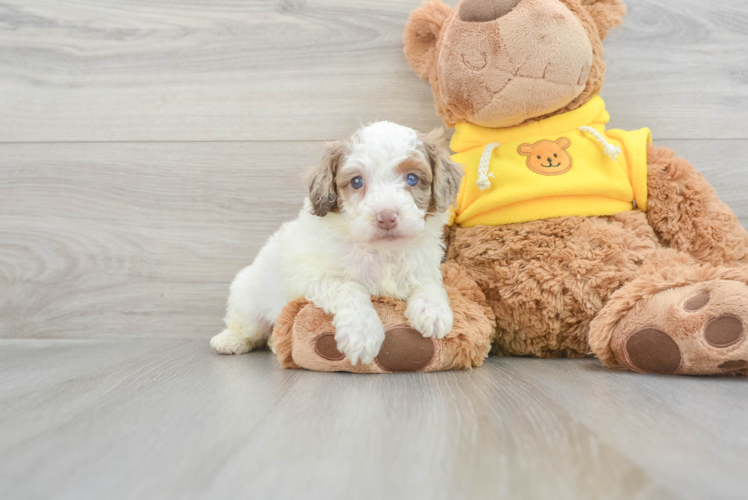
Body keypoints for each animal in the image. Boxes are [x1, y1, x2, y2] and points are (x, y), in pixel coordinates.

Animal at [210, 121, 464, 364]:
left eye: (412, 178)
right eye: (356, 182)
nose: (386, 217)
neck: (381, 252)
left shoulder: (423, 266)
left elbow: (430, 283)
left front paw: (433, 311)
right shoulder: (311, 276)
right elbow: (350, 288)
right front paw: (362, 334)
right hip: (247, 298)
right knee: (247, 327)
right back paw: (230, 340)